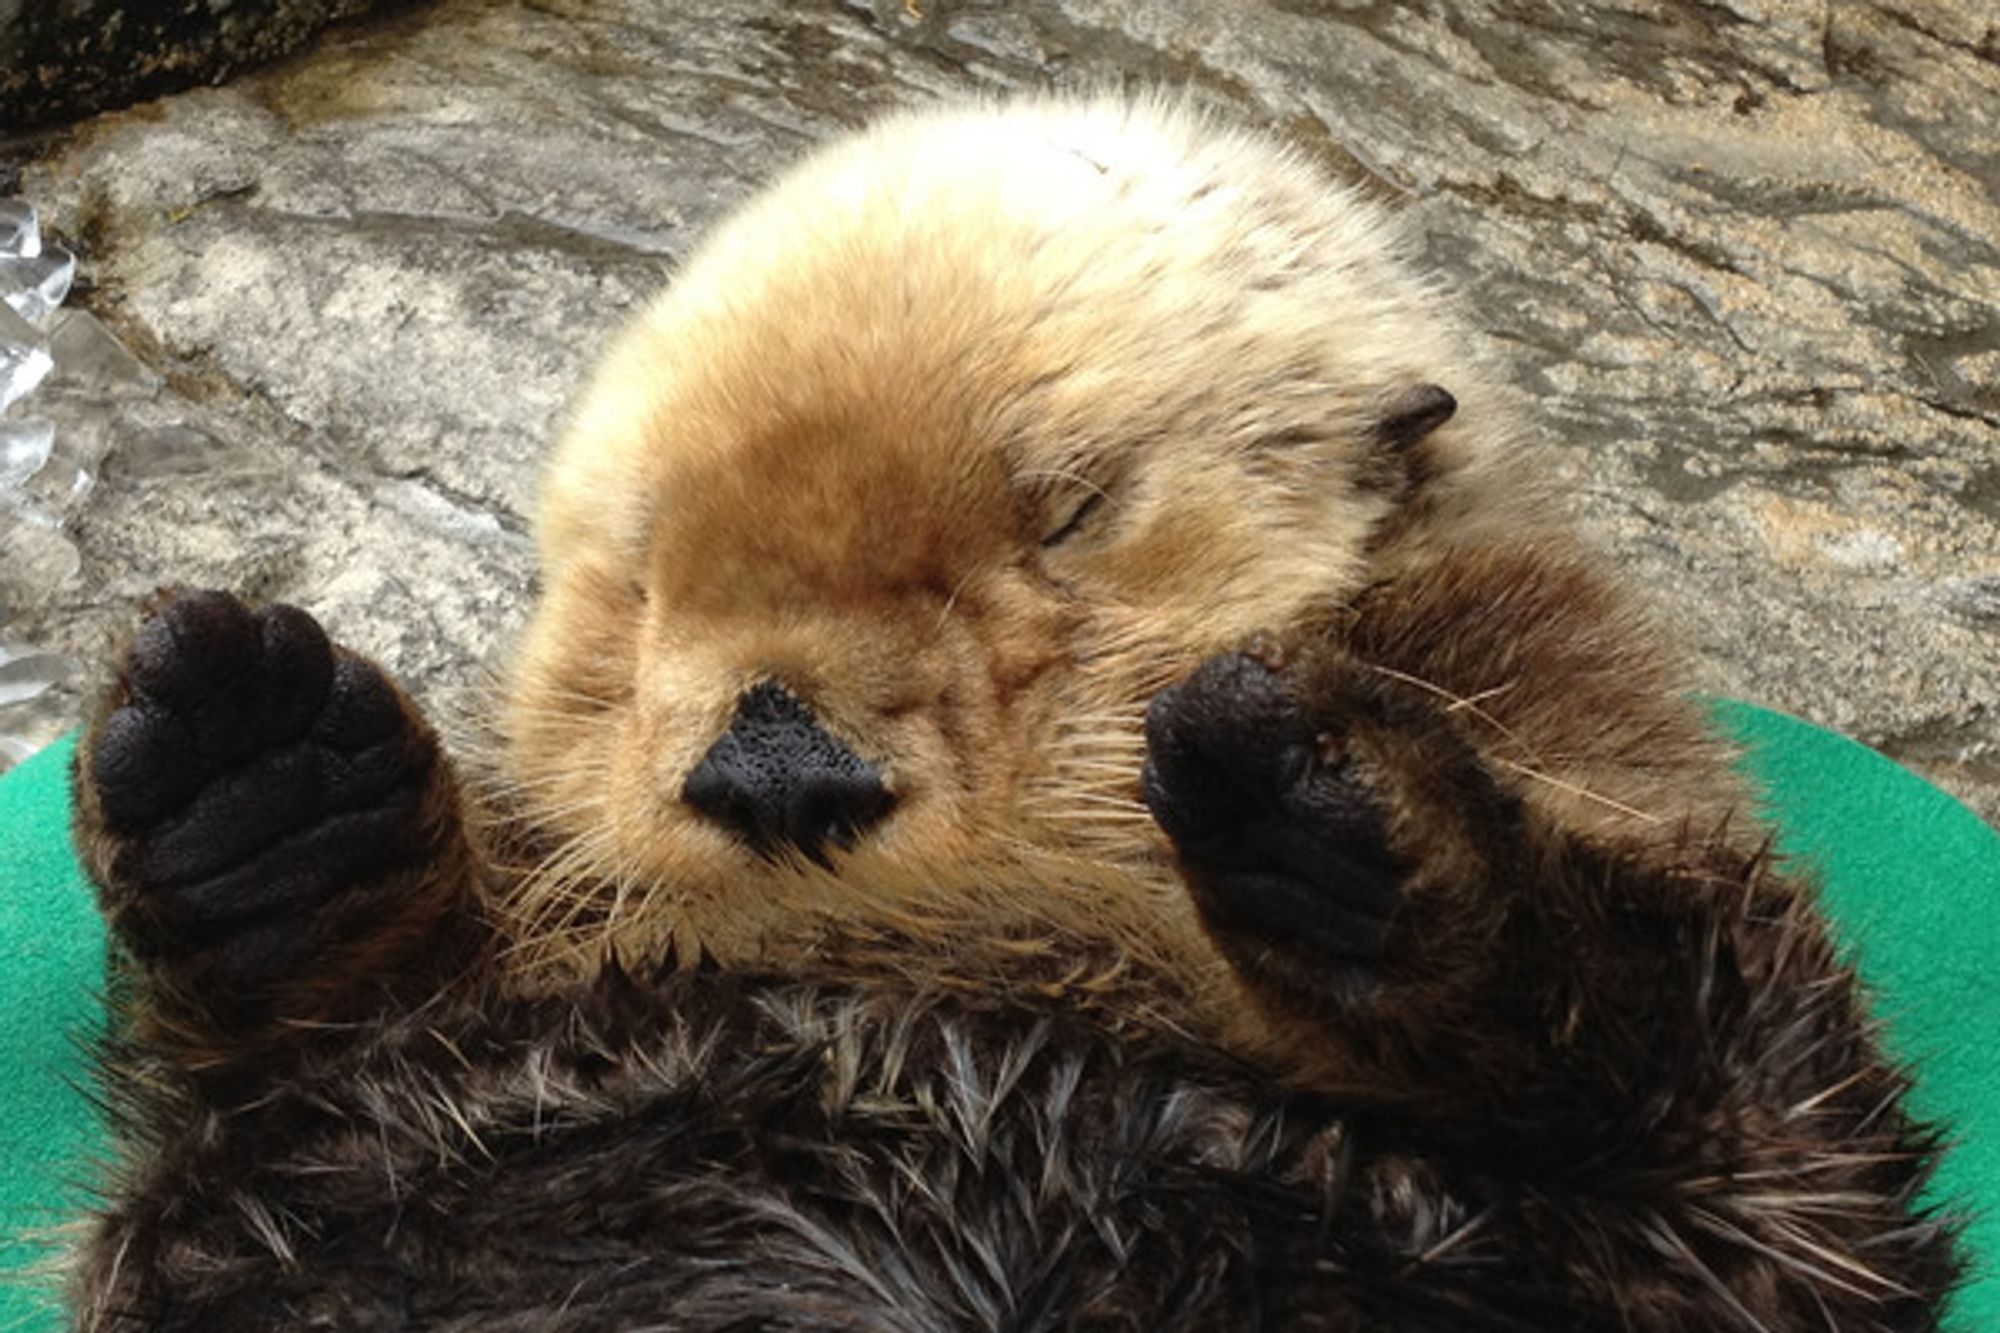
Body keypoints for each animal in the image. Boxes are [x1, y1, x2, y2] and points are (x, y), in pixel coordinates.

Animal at [66, 98, 1968, 1320]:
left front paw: (1343, 792)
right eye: (638, 568)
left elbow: (1753, 1124)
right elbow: (295, 1083)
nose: (778, 754)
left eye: (1073, 512)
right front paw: (256, 772)